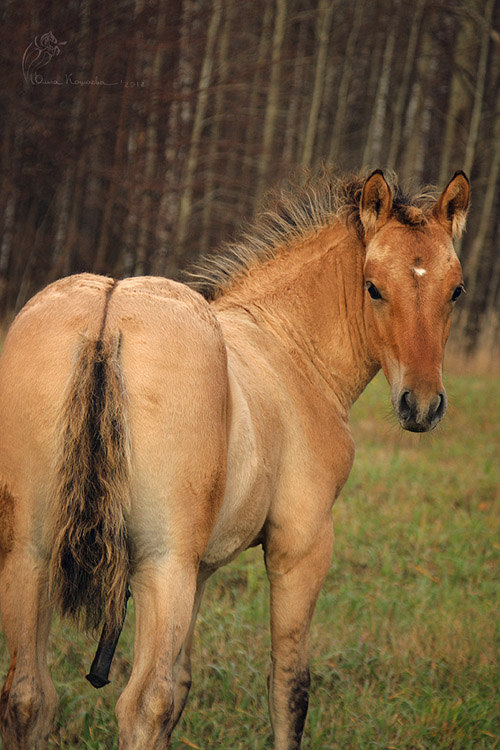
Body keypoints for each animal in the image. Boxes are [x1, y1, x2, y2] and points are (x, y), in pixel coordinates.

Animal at [0, 167, 468, 748]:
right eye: (373, 286)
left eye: (456, 289)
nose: (421, 405)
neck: (289, 349)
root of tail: (105, 321)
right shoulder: (301, 546)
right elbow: (289, 687)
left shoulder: (200, 572)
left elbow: (183, 682)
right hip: (162, 565)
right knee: (143, 703)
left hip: (31, 555)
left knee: (29, 697)